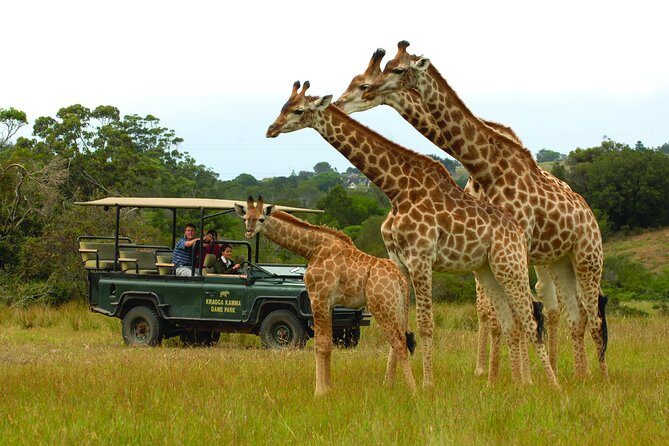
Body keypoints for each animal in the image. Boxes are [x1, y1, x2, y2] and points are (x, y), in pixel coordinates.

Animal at [235, 196, 416, 396]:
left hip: (382, 306)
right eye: (245, 218)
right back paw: (390, 387)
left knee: (399, 343)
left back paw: (413, 390)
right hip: (397, 307)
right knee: (400, 341)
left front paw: (319, 391)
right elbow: (328, 345)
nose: (249, 231)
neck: (312, 249)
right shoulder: (329, 304)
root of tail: (401, 280)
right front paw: (329, 388)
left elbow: (320, 345)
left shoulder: (318, 297)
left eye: (261, 218)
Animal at [266, 81, 560, 388]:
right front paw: (390, 384)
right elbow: (401, 325)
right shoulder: (399, 262)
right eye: (283, 106)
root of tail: (519, 231)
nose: (271, 129)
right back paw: (515, 382)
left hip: (510, 266)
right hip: (489, 269)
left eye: (298, 110)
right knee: (514, 319)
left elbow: (425, 324)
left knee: (530, 317)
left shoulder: (421, 258)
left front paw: (427, 385)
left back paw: (549, 384)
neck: (397, 189)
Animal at [361, 41, 608, 379]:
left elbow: (514, 311)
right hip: (557, 259)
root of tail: (589, 213)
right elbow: (491, 310)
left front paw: (512, 376)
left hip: (585, 257)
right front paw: (493, 374)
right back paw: (577, 375)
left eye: (397, 70)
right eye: (380, 70)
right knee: (569, 309)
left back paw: (594, 377)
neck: (485, 168)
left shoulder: (512, 241)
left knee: (583, 310)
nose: (367, 91)